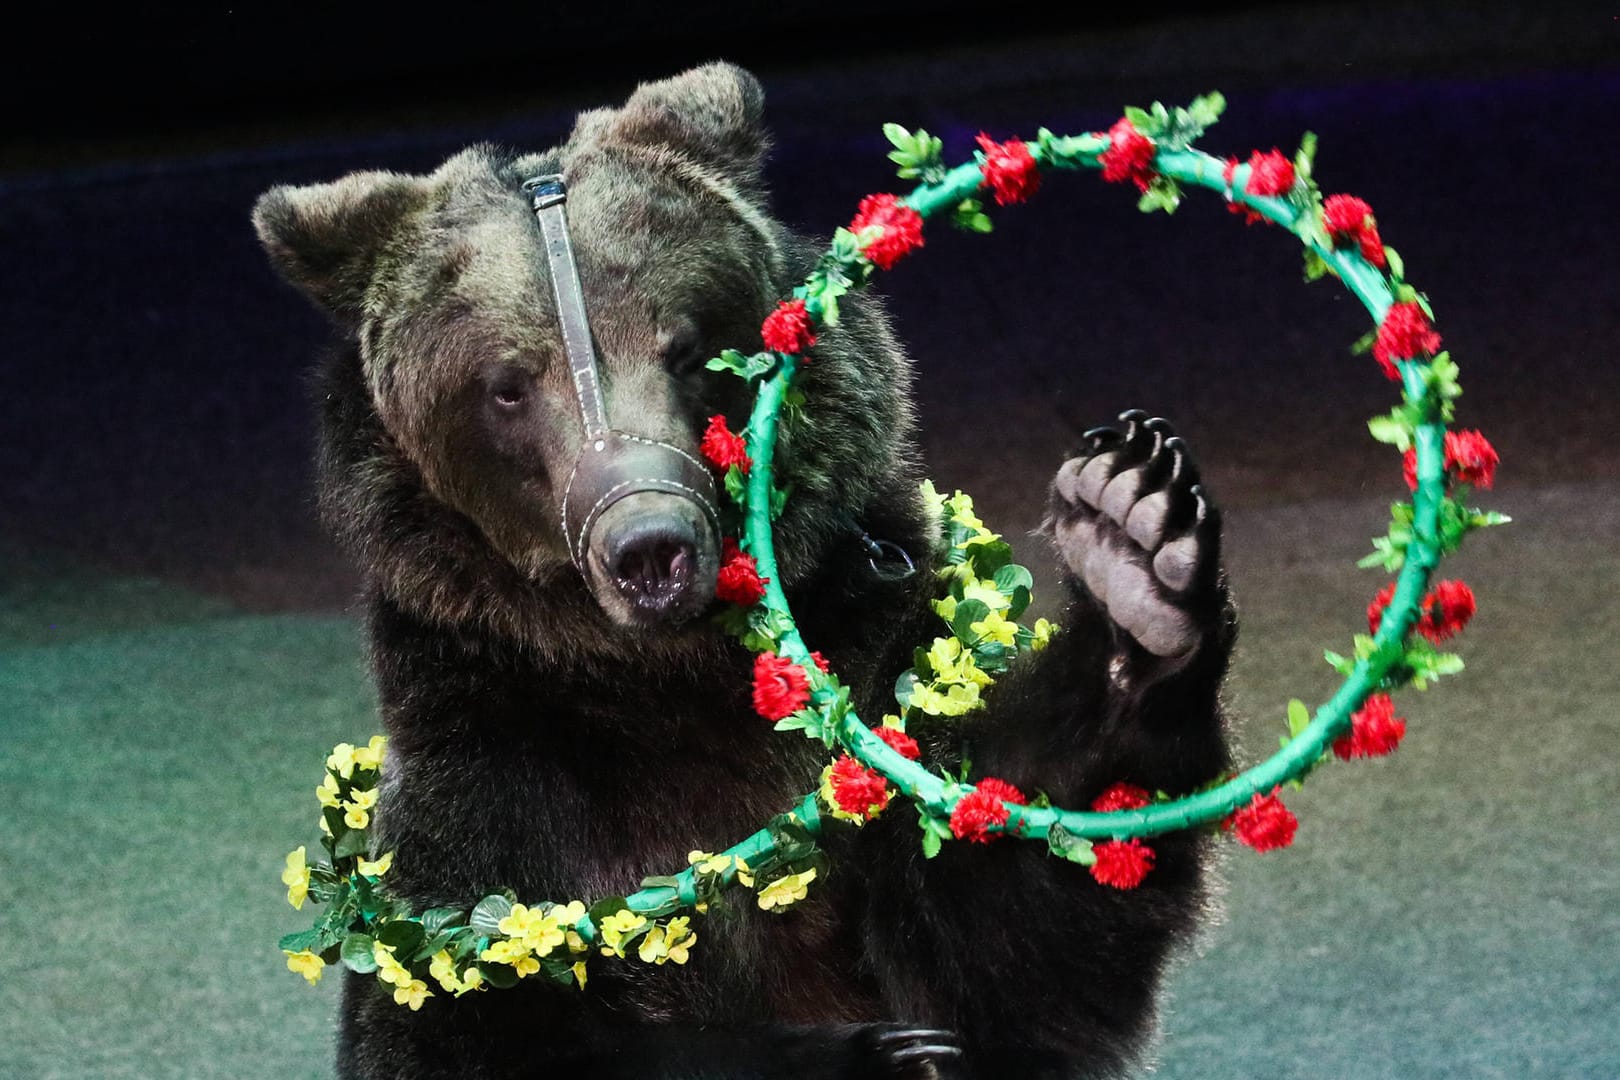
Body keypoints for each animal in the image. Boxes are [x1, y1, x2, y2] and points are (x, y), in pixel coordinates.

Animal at [259, 61, 1231, 1080]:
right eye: (508, 386)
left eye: (685, 345)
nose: (650, 542)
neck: (671, 677)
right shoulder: (491, 766)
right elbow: (461, 1023)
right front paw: (871, 1052)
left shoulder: (879, 661)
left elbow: (1007, 924)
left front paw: (1134, 540)